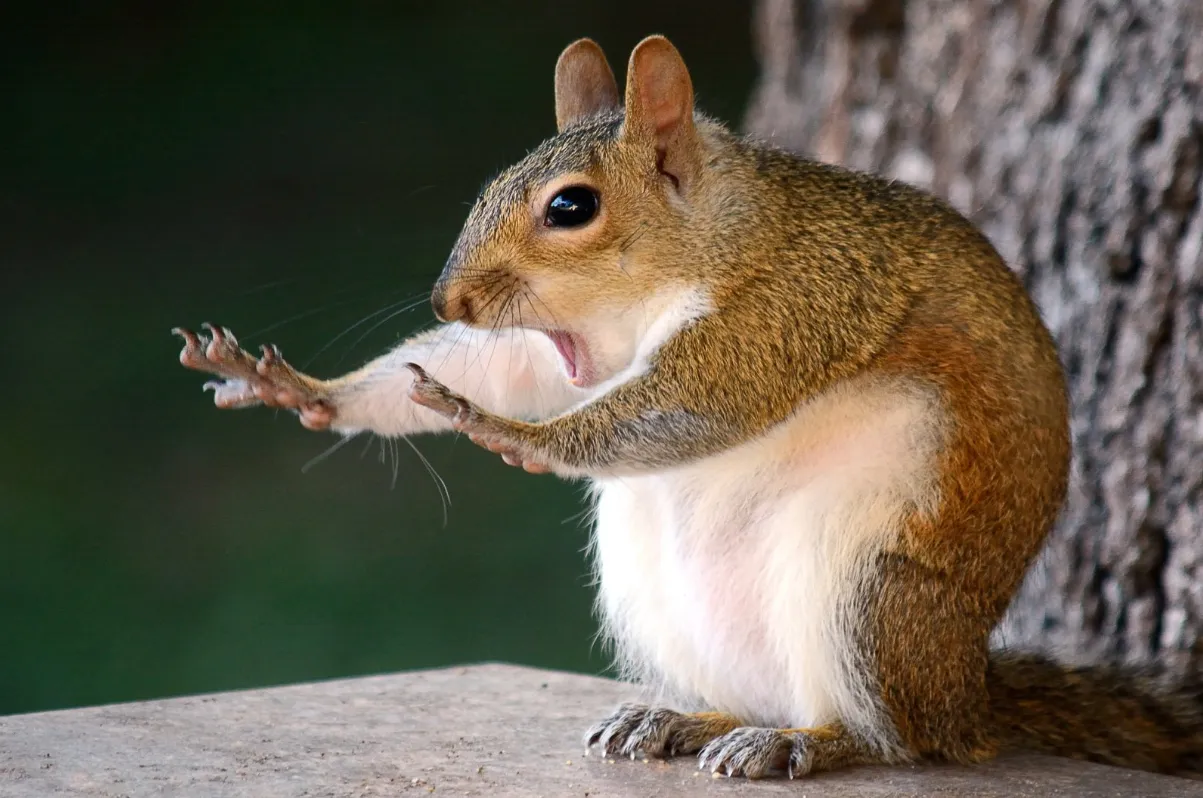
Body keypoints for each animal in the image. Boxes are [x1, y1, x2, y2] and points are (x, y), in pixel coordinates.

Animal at [173, 36, 1203, 780]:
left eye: (571, 207)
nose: (447, 300)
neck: (711, 241)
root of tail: (967, 696)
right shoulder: (562, 350)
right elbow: (504, 369)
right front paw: (303, 389)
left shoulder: (796, 305)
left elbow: (695, 403)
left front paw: (512, 434)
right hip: (658, 595)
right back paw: (679, 719)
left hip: (871, 593)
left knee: (898, 740)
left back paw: (807, 742)